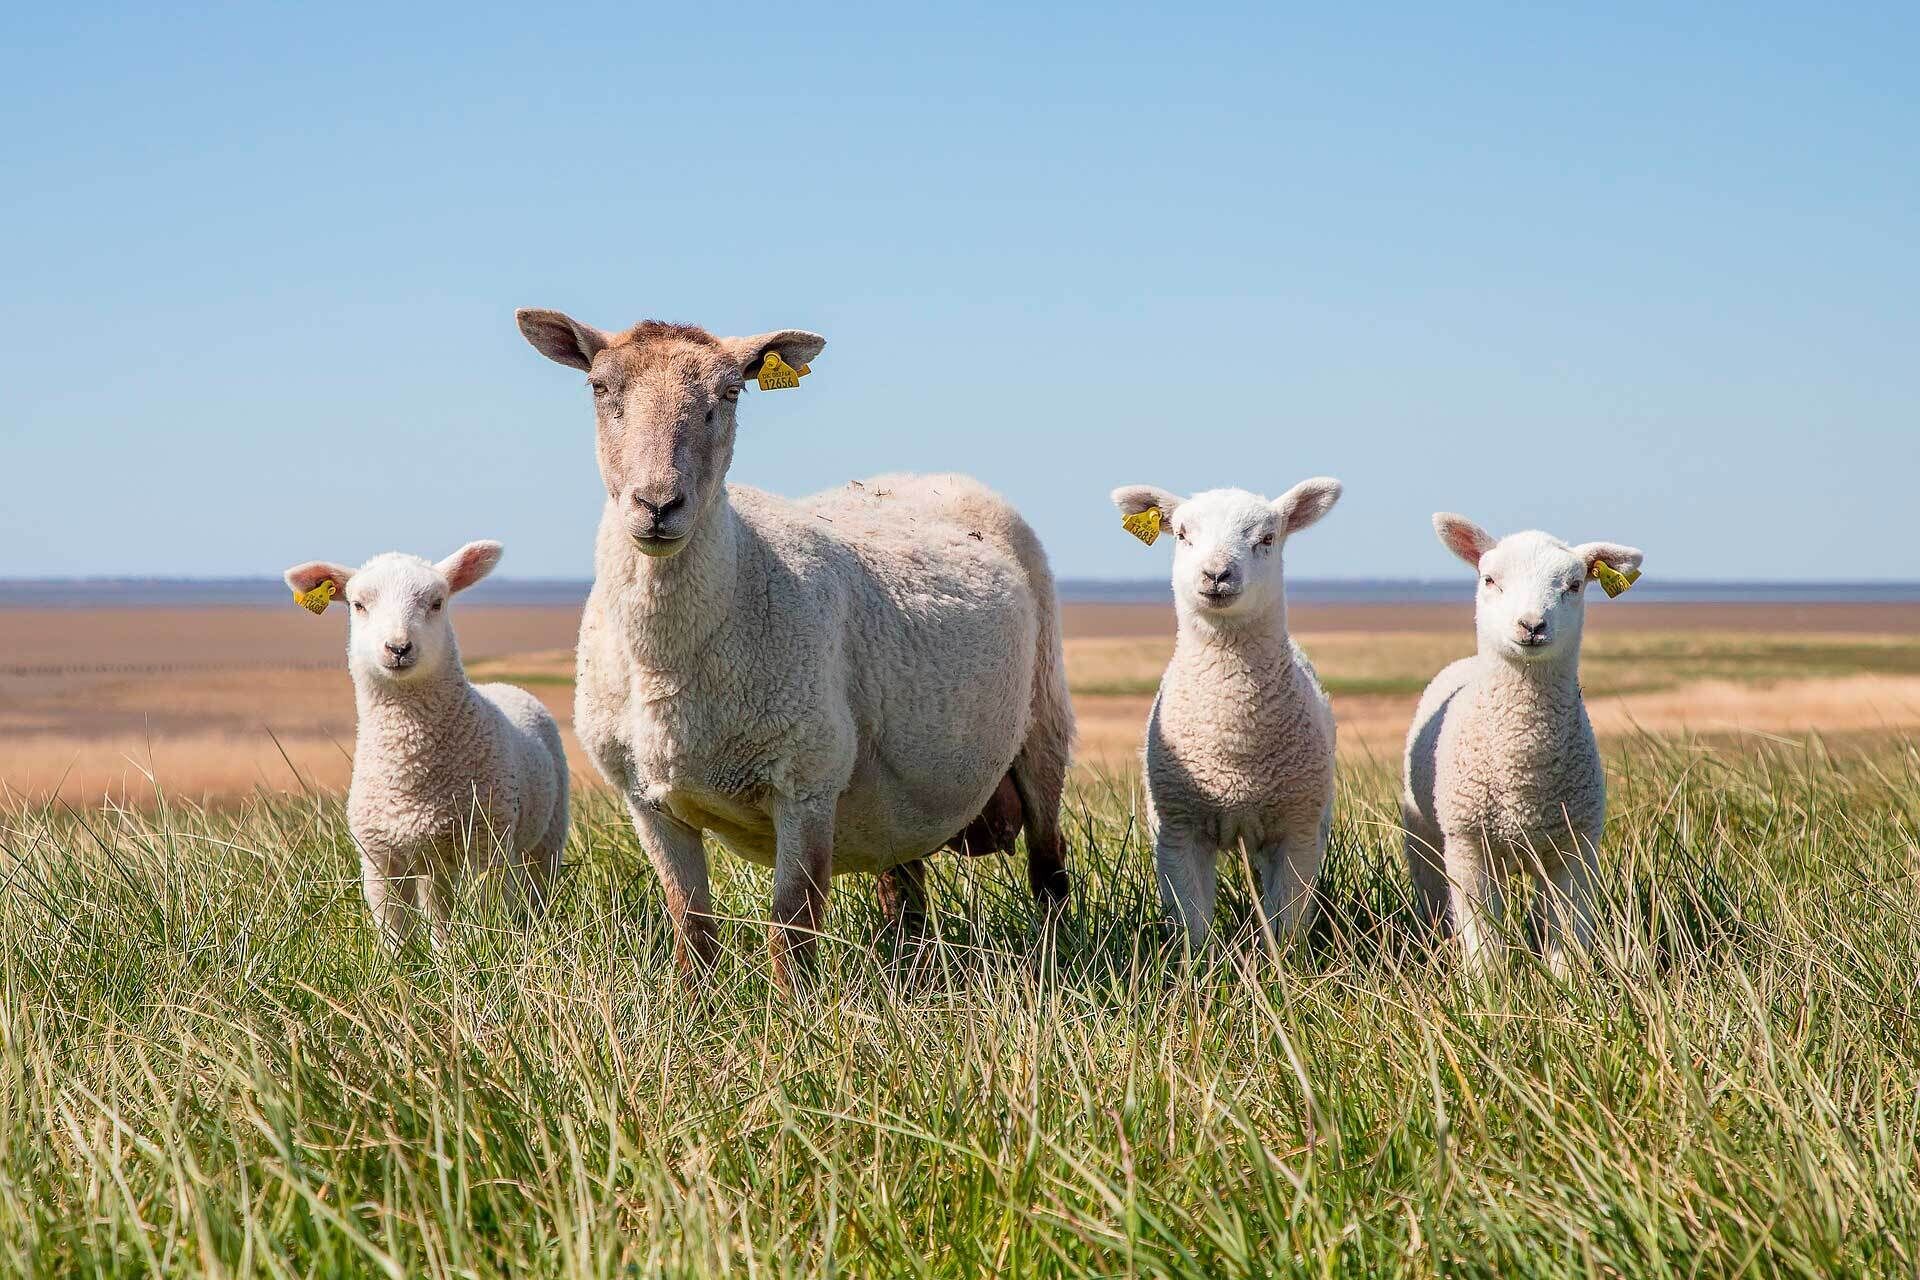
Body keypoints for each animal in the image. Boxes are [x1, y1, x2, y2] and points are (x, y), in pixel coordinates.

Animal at [283, 542, 569, 949]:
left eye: (437, 602)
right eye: (358, 604)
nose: (398, 647)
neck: (411, 769)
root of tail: (504, 685)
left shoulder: (487, 845)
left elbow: (487, 913)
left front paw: (485, 952)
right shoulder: (378, 857)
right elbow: (393, 929)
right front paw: (400, 964)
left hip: (545, 836)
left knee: (536, 888)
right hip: (433, 858)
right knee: (439, 908)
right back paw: (443, 951)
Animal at [515, 308, 1075, 990]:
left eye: (731, 394)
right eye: (600, 388)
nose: (657, 505)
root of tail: (927, 476)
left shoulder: (806, 781)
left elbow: (791, 926)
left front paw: (791, 1013)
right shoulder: (646, 800)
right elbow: (690, 927)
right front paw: (696, 1009)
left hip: (1043, 720)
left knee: (1049, 869)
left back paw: (1052, 962)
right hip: (898, 797)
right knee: (904, 888)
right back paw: (908, 972)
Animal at [1109, 478, 1343, 947]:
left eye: (1267, 538)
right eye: (1182, 535)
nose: (1216, 575)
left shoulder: (1297, 829)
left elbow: (1287, 922)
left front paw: (1282, 964)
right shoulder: (1178, 830)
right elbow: (1191, 924)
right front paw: (1195, 965)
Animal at [1399, 515, 1644, 977]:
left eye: (1574, 585)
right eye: (1490, 579)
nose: (1531, 626)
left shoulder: (1575, 848)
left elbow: (1568, 931)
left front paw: (1567, 985)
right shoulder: (1468, 847)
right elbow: (1481, 936)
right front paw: (1486, 986)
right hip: (1425, 836)